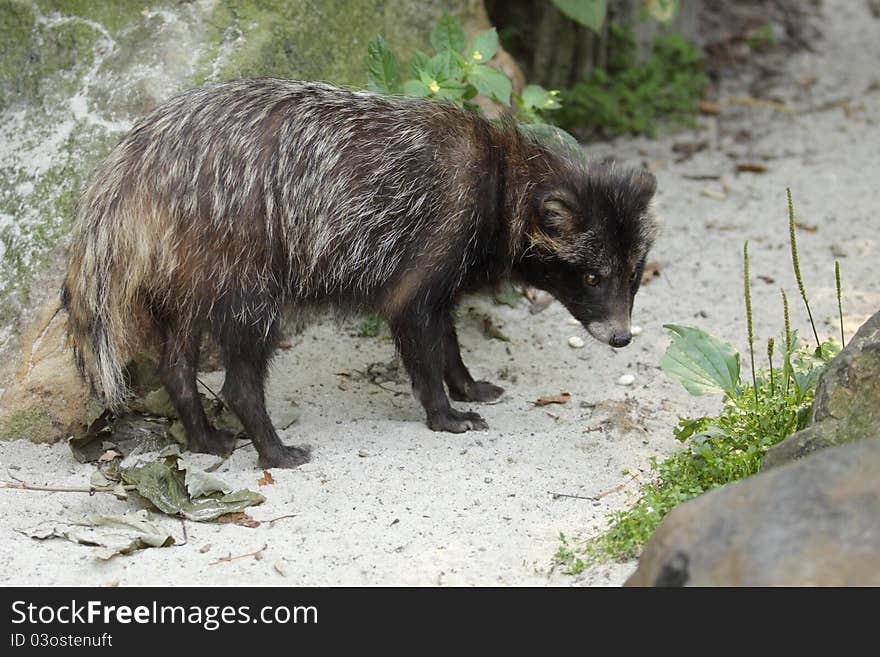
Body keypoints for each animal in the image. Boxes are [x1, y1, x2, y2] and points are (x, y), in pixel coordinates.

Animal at [63, 78, 652, 466]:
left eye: (634, 276)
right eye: (594, 277)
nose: (622, 338)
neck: (502, 177)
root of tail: (133, 169)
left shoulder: (442, 275)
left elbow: (449, 339)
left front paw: (465, 384)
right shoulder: (425, 258)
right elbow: (423, 346)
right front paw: (443, 411)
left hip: (187, 282)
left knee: (177, 370)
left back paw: (205, 436)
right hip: (243, 275)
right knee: (239, 383)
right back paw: (273, 450)